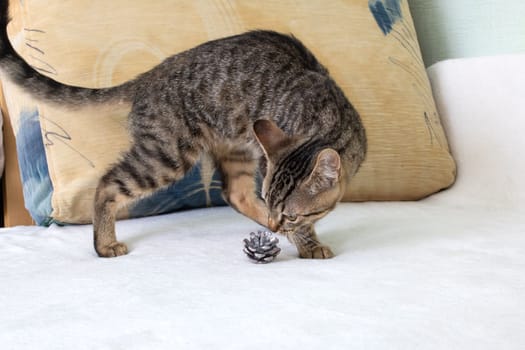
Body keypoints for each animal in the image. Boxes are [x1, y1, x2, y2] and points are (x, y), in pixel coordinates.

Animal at [1, 1, 364, 258]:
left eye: (288, 214)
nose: (276, 223)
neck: (326, 116)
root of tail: (149, 76)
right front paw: (308, 244)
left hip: (235, 148)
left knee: (234, 193)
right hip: (167, 155)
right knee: (107, 183)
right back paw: (104, 245)